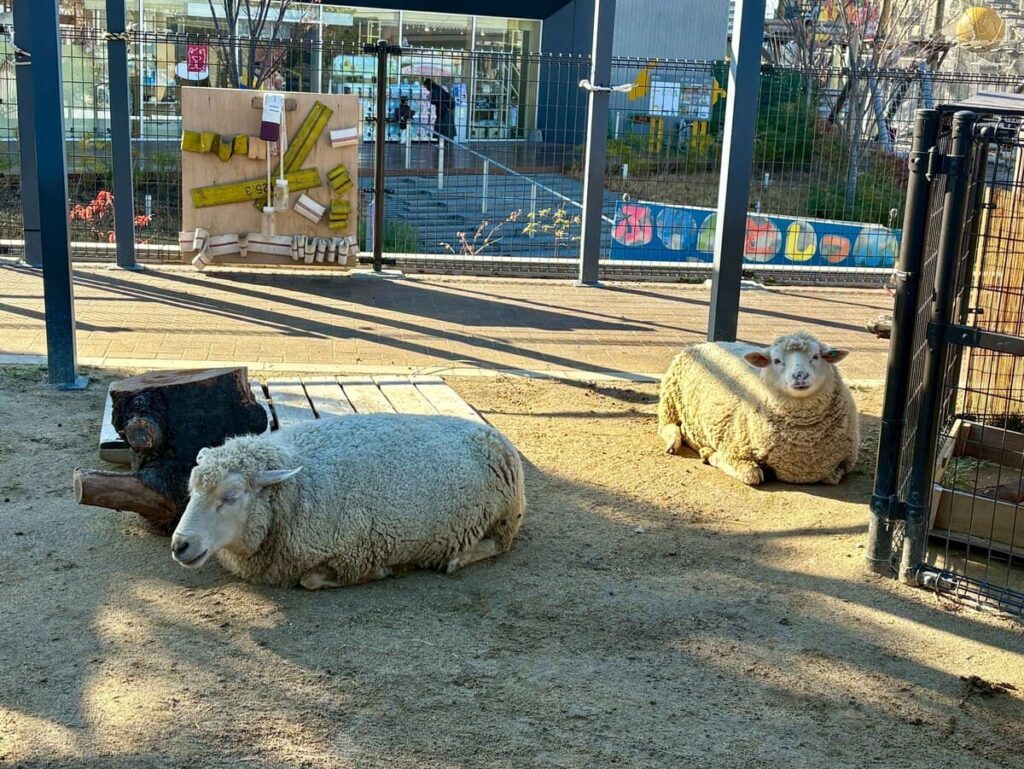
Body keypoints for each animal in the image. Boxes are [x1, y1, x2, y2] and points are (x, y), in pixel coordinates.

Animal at [170, 413, 526, 589]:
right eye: (192, 490)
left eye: (231, 496)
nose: (179, 545)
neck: (300, 486)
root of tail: (494, 433)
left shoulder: (354, 552)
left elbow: (310, 581)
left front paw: (383, 572)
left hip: (504, 516)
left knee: (499, 544)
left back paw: (455, 559)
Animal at [657, 331, 858, 486]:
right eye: (776, 360)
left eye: (816, 356)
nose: (800, 375)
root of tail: (707, 343)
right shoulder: (735, 450)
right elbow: (750, 475)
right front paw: (711, 455)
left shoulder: (839, 466)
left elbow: (834, 476)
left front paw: (708, 453)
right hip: (670, 399)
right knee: (668, 427)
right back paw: (675, 443)